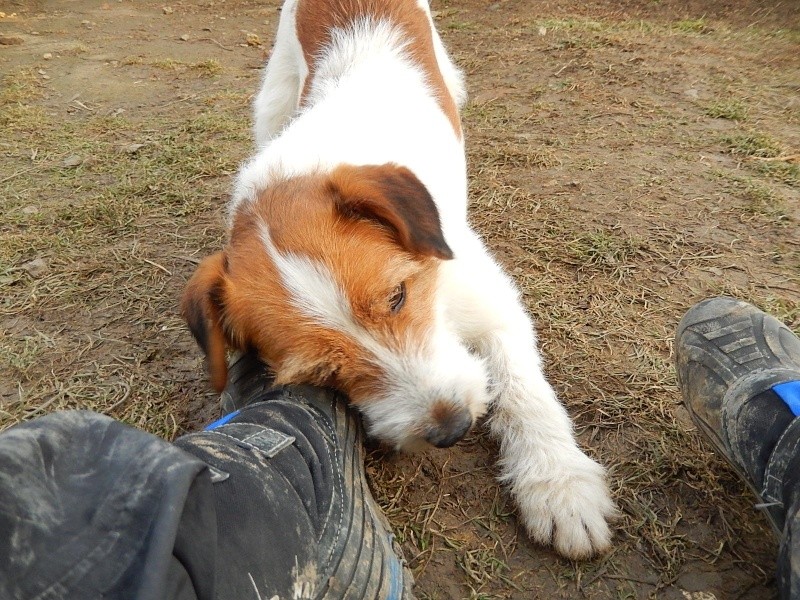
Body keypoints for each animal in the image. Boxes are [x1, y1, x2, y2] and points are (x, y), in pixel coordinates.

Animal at [183, 0, 620, 556]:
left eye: (397, 297)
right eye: (322, 372)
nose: (452, 428)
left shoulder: (493, 305)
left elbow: (524, 388)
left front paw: (558, 482)